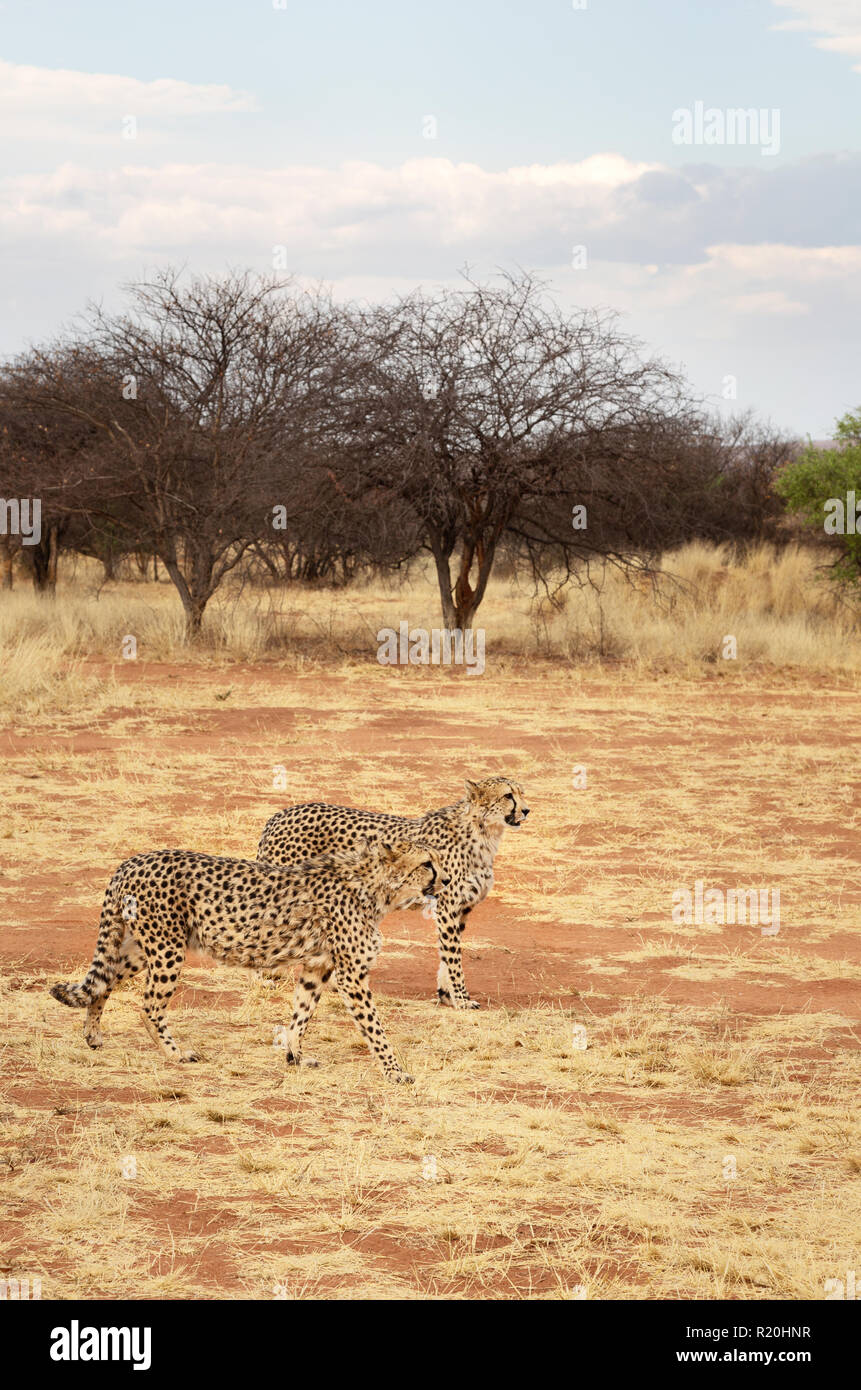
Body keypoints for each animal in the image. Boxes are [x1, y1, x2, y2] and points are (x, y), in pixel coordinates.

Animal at [47, 834, 447, 1084]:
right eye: (428, 863)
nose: (444, 883)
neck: (376, 886)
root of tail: (132, 861)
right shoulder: (351, 975)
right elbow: (375, 1029)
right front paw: (395, 1072)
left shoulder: (317, 966)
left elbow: (301, 1015)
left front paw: (296, 1057)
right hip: (166, 948)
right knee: (147, 1007)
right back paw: (176, 1054)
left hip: (139, 947)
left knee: (102, 983)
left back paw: (92, 1036)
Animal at [255, 772, 528, 1011]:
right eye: (507, 795)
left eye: (521, 793)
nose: (526, 810)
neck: (484, 832)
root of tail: (280, 813)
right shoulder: (447, 907)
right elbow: (453, 958)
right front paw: (461, 999)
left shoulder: (461, 909)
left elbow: (446, 956)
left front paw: (446, 995)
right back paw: (262, 978)